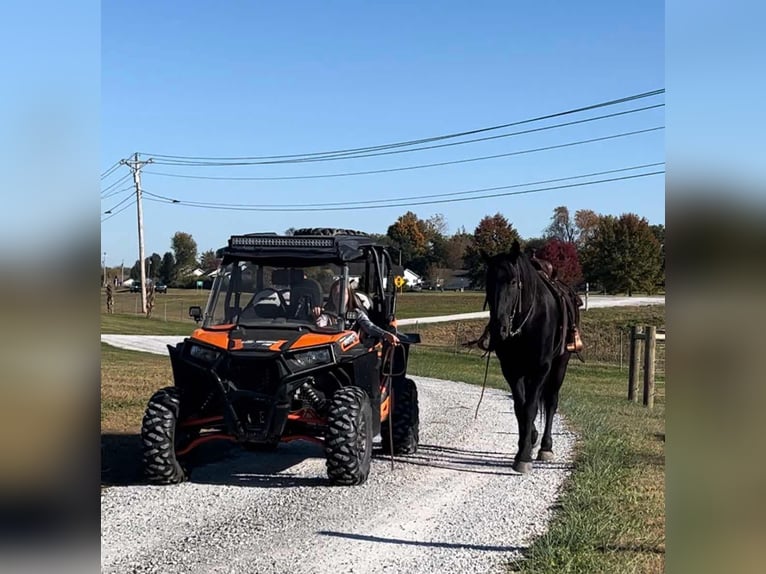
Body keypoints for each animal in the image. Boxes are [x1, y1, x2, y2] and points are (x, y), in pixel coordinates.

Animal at [486, 241, 584, 474]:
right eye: (488, 282)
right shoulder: (511, 370)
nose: (498, 330)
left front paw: (524, 457)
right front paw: (525, 442)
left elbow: (531, 407)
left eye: (513, 281)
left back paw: (546, 447)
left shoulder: (541, 368)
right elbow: (520, 408)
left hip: (559, 366)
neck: (528, 322)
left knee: (551, 402)